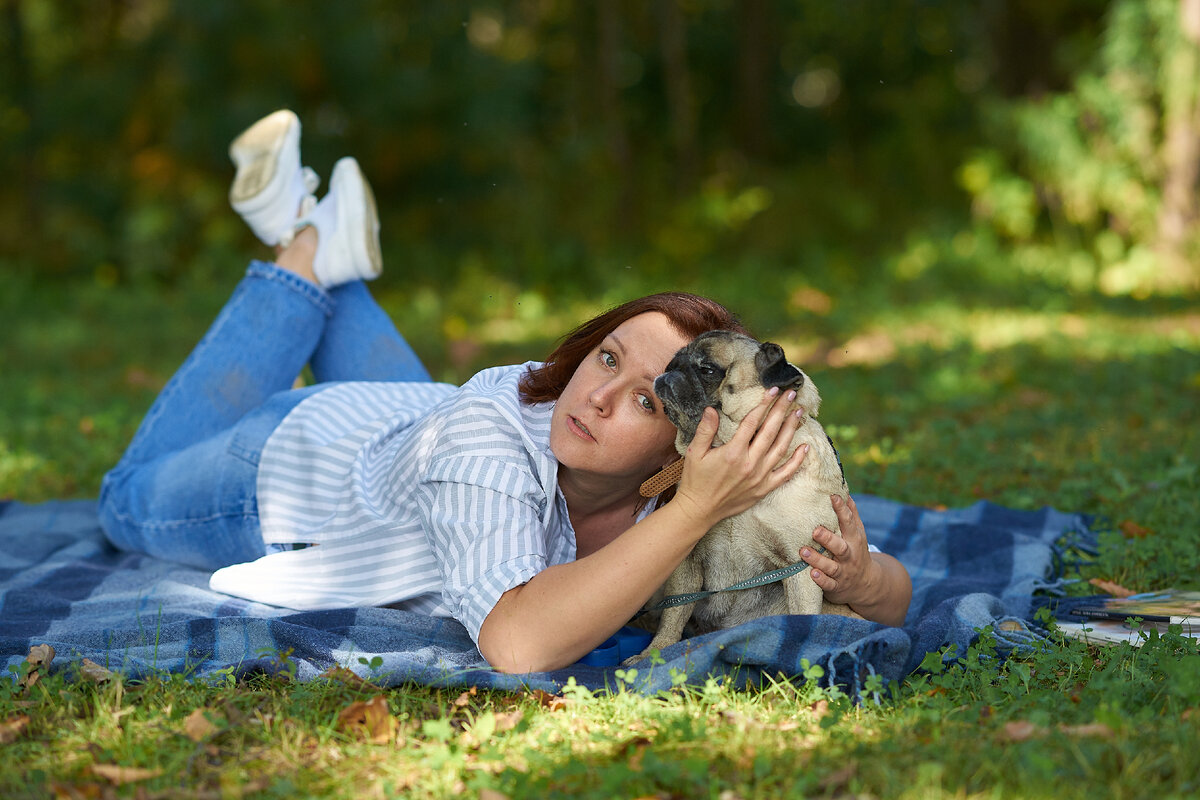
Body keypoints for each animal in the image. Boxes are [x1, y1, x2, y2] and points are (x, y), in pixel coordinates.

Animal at [628, 331, 864, 662]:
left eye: (707, 369)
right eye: (673, 361)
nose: (669, 370)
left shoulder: (802, 566)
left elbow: (803, 620)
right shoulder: (686, 562)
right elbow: (674, 614)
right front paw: (656, 652)